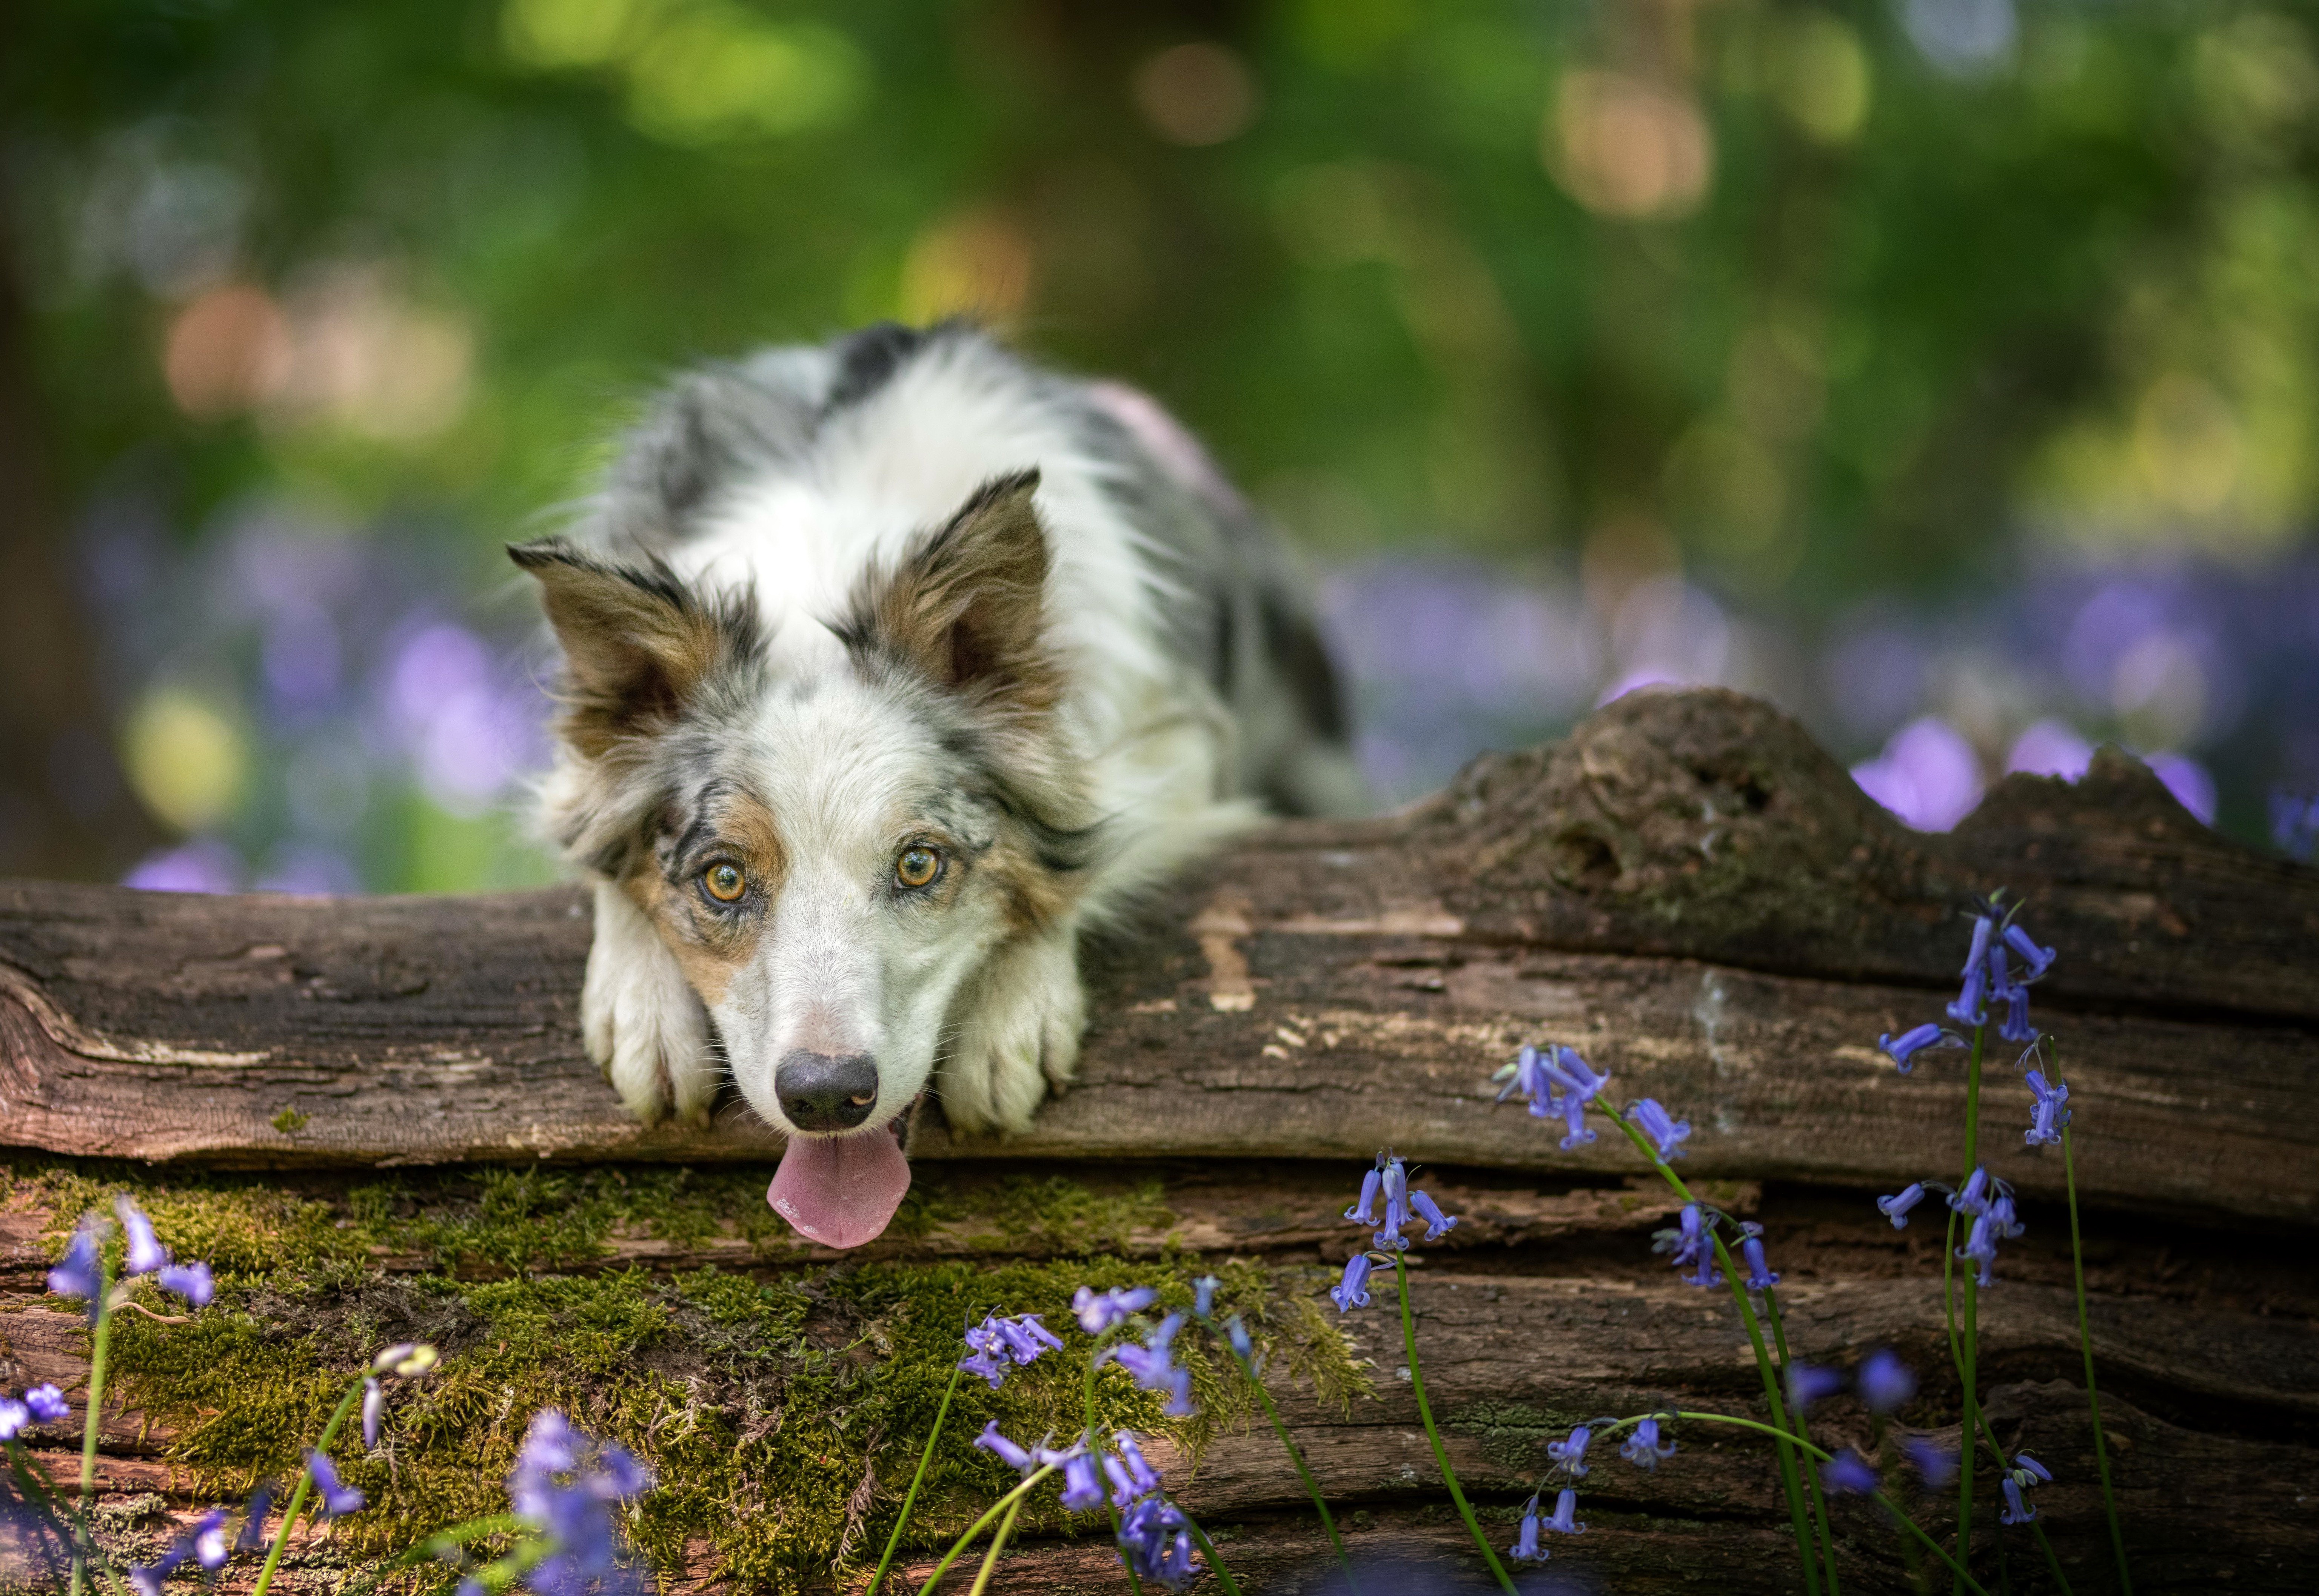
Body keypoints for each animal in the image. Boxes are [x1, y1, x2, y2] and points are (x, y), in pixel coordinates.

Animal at [512, 325, 1354, 1243]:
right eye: (724, 878)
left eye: (919, 863)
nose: (826, 1097)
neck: (825, 570)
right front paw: (643, 1011)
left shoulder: (1178, 741)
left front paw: (1012, 1014)